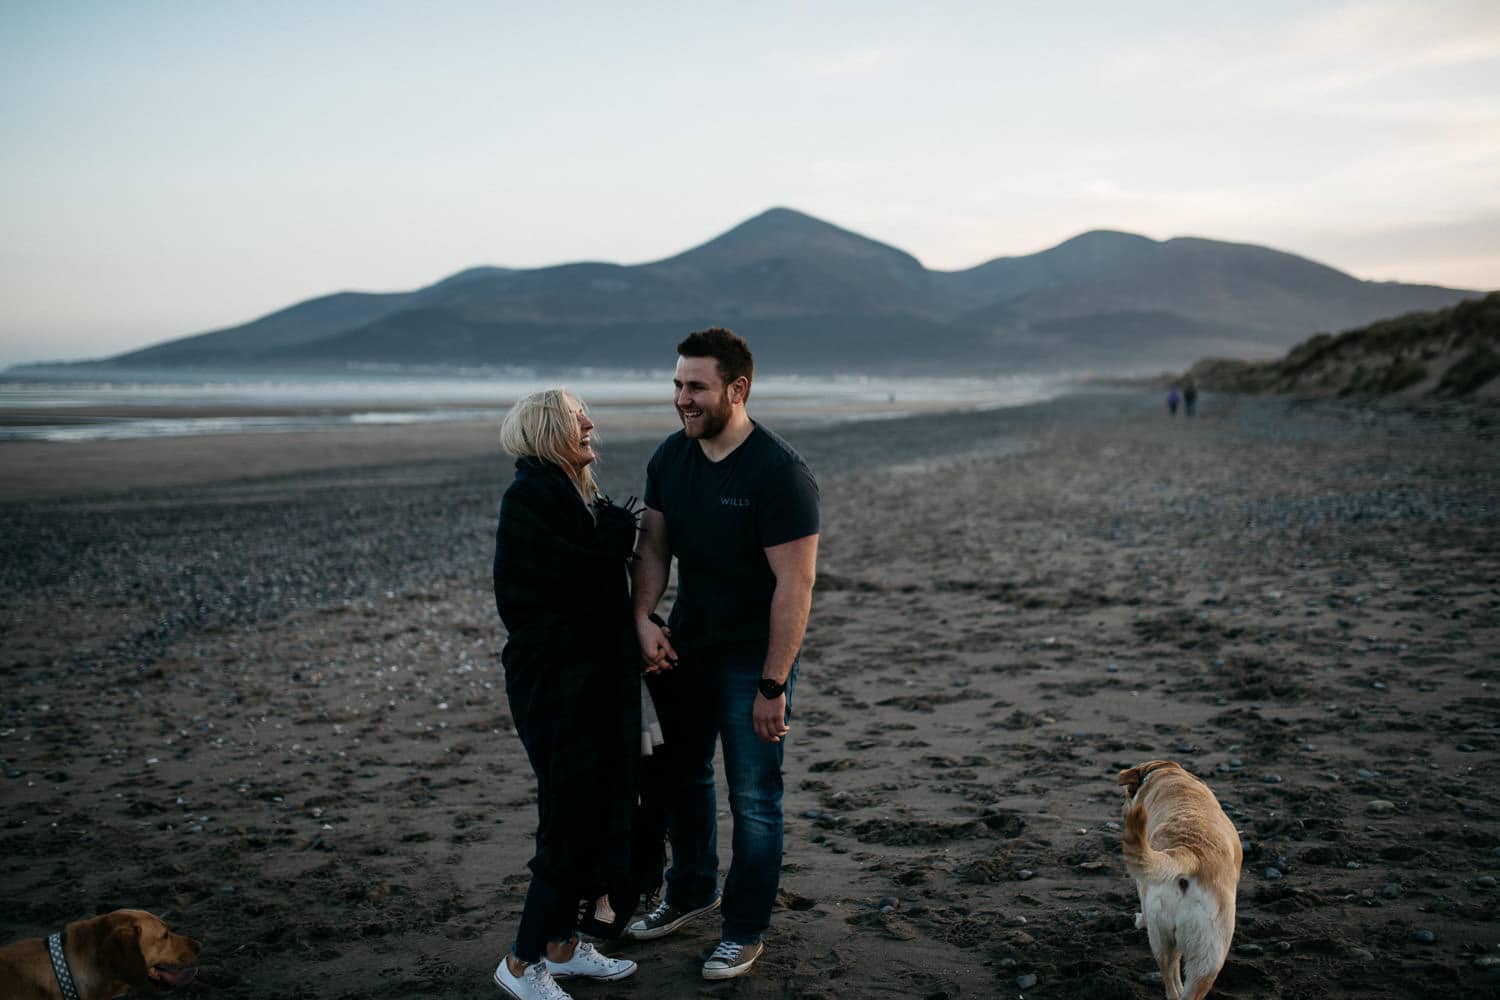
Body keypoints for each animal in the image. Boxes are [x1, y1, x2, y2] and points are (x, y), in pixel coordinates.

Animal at [1122, 758, 1236, 1000]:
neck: (1167, 774)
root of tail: (1188, 854)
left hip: (1166, 939)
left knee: (1172, 978)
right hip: (1208, 952)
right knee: (1181, 987)